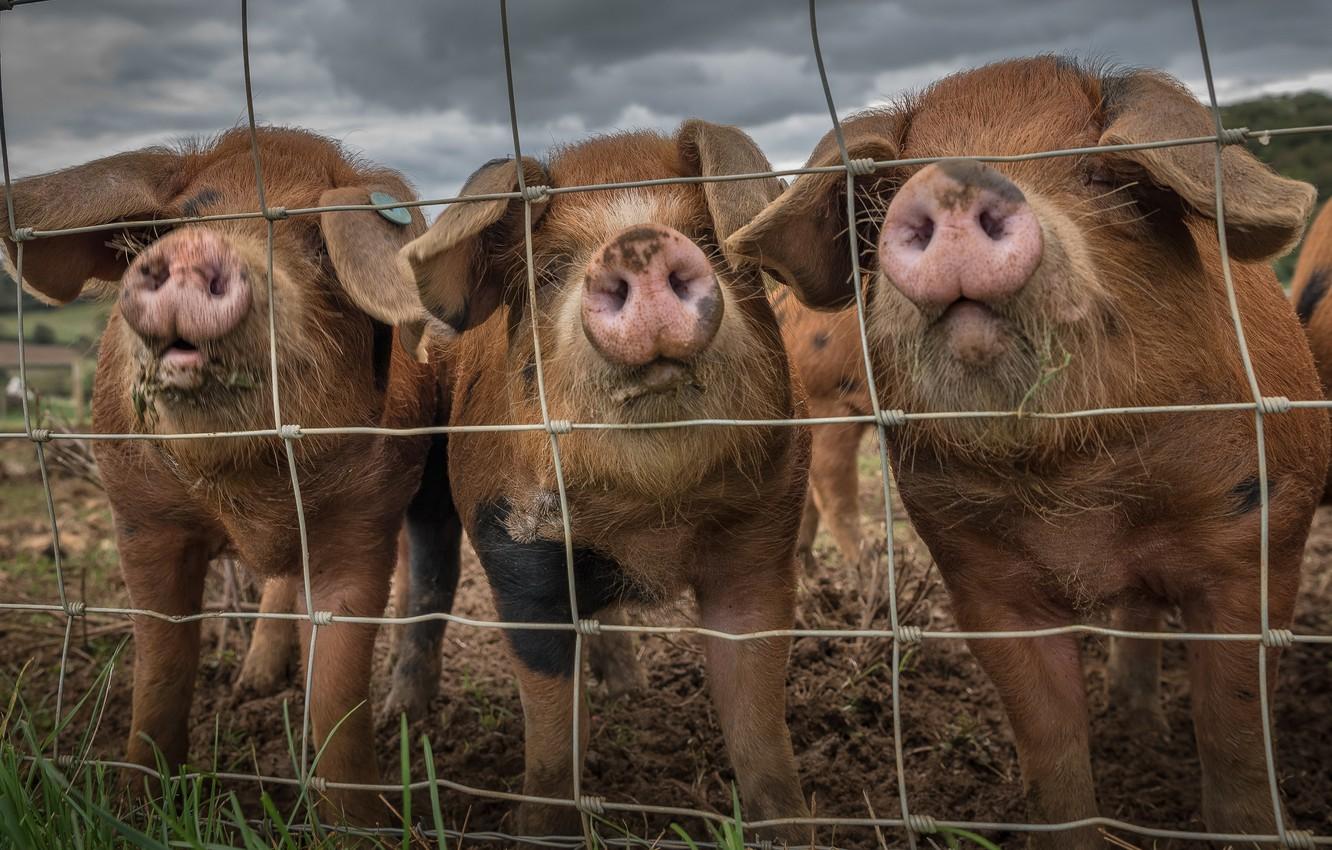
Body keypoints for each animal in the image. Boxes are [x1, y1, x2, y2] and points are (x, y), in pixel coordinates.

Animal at [2, 127, 461, 823]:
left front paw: (368, 827)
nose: (196, 248)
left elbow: (338, 685)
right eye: (174, 225)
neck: (250, 488)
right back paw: (253, 684)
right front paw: (136, 807)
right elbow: (161, 666)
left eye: (316, 244)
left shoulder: (365, 520)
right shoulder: (140, 517)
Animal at [378, 122, 812, 840]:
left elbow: (758, 724)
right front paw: (539, 830)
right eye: (551, 269)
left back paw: (628, 689)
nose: (637, 243)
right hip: (428, 470)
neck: (654, 521)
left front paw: (790, 828)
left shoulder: (765, 538)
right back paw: (401, 716)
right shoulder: (515, 551)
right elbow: (553, 727)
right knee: (429, 573)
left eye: (709, 239)